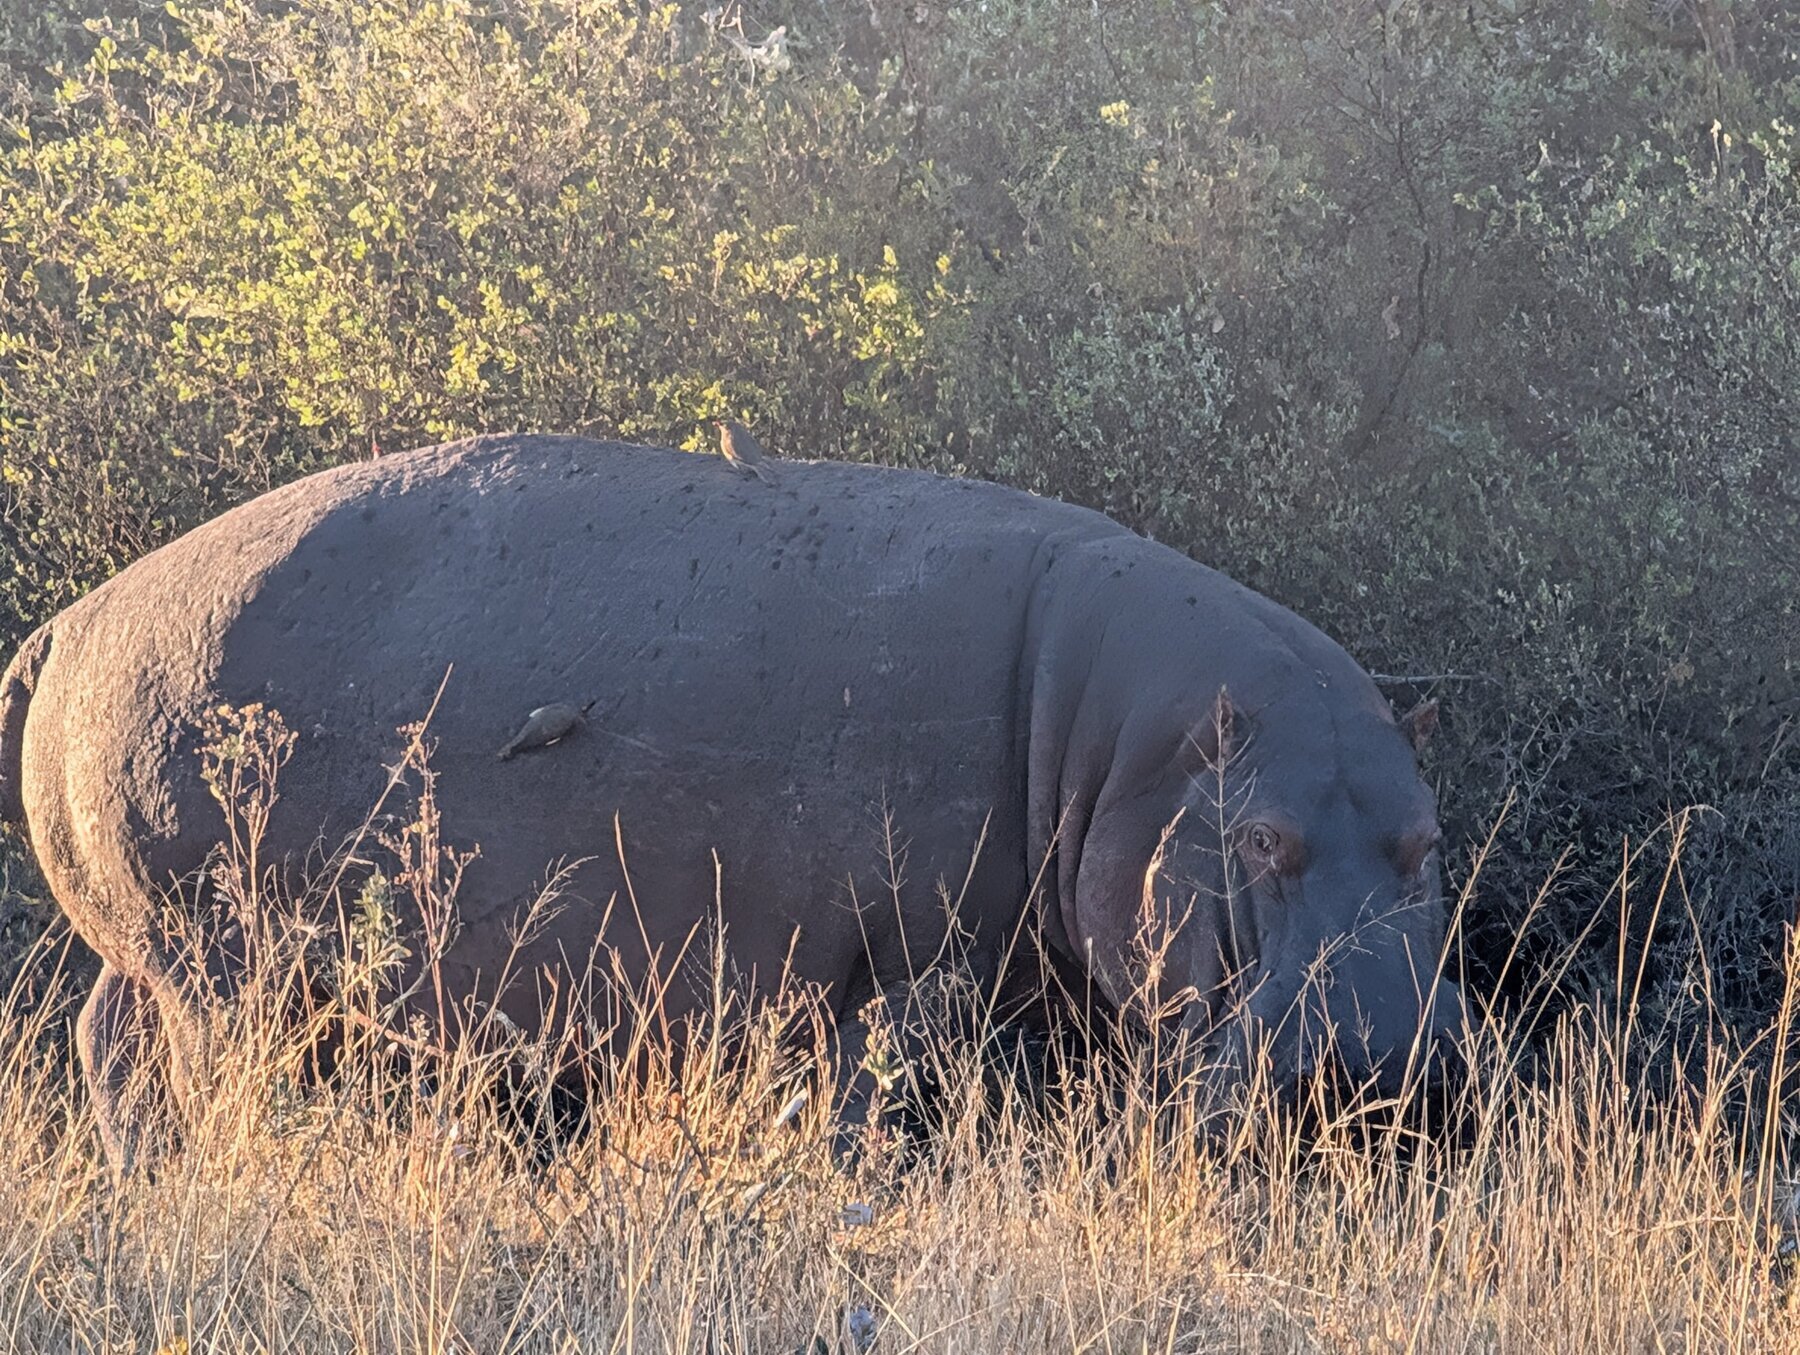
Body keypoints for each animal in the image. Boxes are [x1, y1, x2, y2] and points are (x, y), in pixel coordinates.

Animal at [0, 435, 1463, 1167]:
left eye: (1428, 840)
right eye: (1261, 838)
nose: (1383, 1062)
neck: (1105, 730)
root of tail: (79, 615)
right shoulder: (905, 964)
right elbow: (876, 1105)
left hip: (150, 950)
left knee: (105, 1047)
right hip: (217, 961)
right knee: (196, 1071)